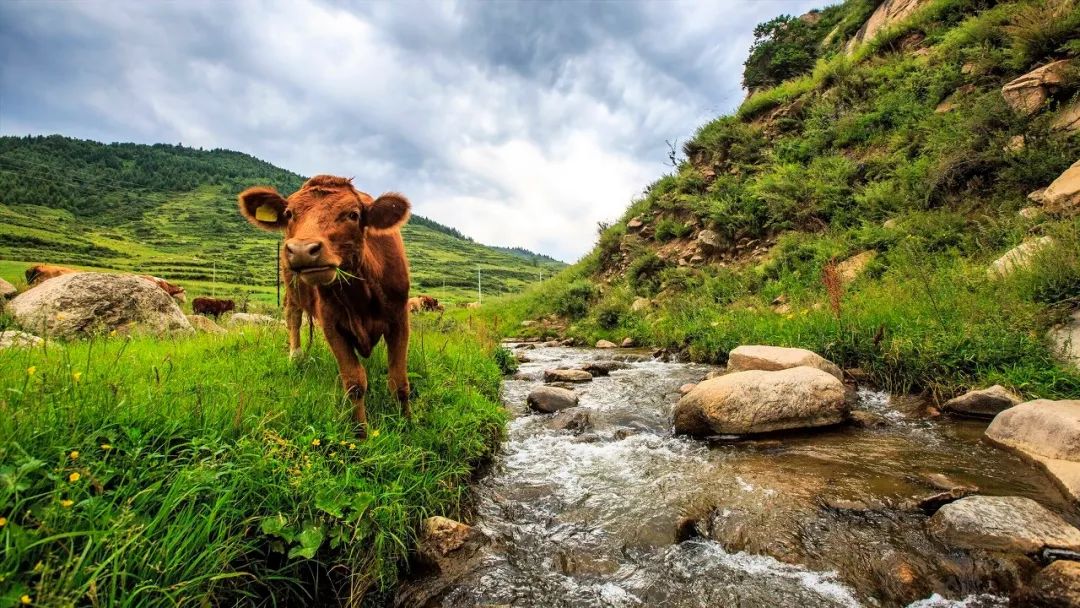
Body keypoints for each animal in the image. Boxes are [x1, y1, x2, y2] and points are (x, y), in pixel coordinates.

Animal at [238, 173, 410, 436]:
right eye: (289, 213)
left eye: (353, 214)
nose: (301, 249)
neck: (361, 292)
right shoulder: (332, 324)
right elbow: (354, 381)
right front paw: (360, 432)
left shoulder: (399, 318)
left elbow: (399, 381)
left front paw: (407, 424)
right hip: (291, 289)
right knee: (293, 318)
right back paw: (296, 357)